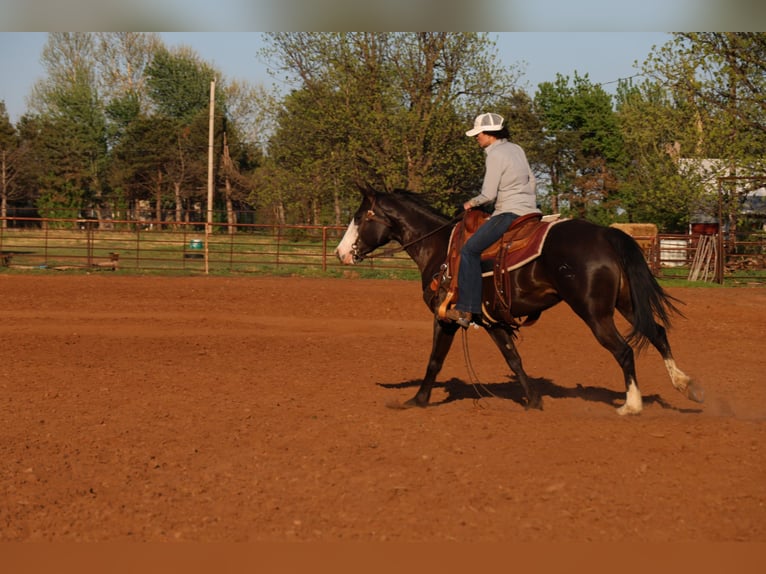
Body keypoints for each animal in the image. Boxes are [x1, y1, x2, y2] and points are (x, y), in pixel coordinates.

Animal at [335, 186, 705, 415]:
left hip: (595, 313)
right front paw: (533, 401)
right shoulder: (491, 319)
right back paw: (687, 386)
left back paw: (632, 405)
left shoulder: (446, 317)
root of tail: (605, 234)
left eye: (361, 217)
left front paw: (417, 399)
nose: (340, 253)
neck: (440, 248)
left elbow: (435, 360)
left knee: (624, 350)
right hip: (625, 304)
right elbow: (514, 358)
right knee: (657, 333)